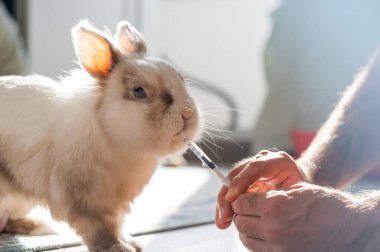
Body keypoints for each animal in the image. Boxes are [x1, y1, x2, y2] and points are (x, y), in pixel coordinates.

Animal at [0, 20, 202, 252]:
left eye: (180, 79)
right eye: (139, 91)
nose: (187, 115)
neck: (110, 134)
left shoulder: (117, 203)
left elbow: (117, 223)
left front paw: (132, 242)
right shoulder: (85, 199)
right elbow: (98, 228)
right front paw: (117, 248)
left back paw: (36, 226)